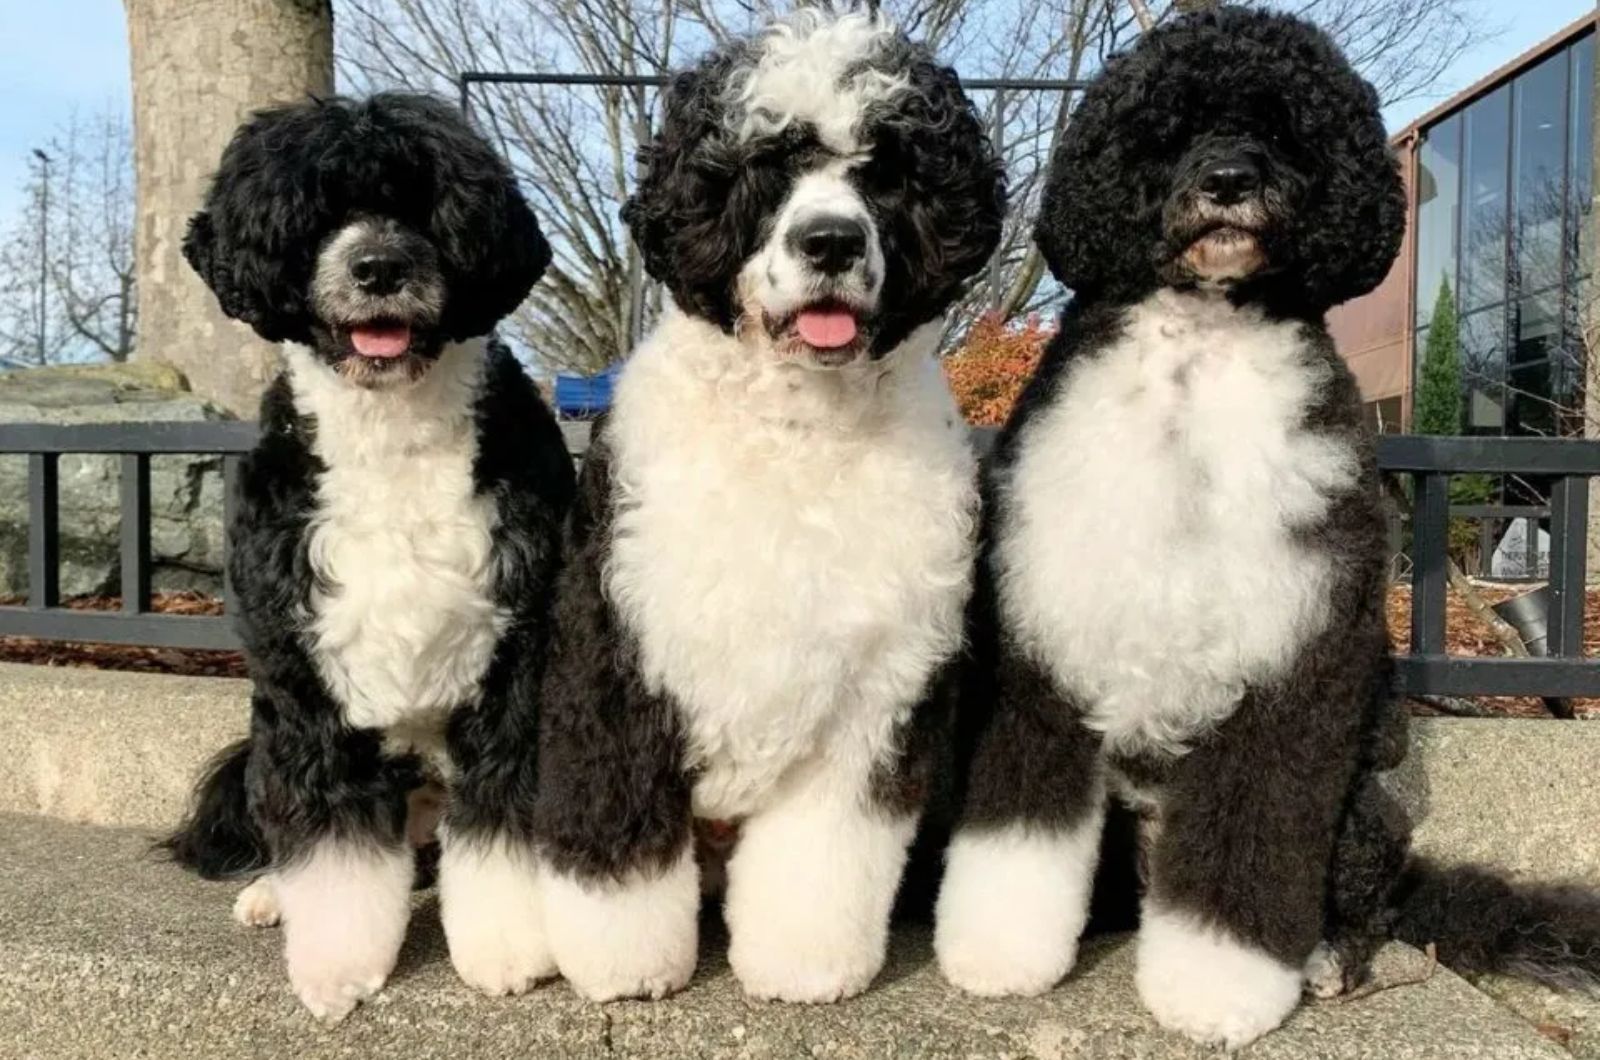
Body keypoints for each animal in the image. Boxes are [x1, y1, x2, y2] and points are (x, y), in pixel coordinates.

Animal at [156, 95, 579, 1024]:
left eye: (426, 204)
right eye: (316, 213)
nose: (379, 265)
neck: (395, 439)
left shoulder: (516, 661)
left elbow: (502, 825)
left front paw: (507, 948)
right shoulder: (306, 678)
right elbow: (333, 843)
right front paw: (337, 967)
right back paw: (272, 895)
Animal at [505, 14, 1004, 1005]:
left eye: (886, 168)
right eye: (766, 162)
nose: (830, 241)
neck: (796, 432)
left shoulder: (876, 692)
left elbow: (822, 856)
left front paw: (804, 962)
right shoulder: (619, 650)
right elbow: (615, 827)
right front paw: (622, 961)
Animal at [934, 6, 1600, 1056]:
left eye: (1286, 130)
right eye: (1166, 127)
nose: (1227, 181)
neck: (1196, 369)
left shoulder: (1294, 657)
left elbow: (1253, 841)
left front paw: (1218, 992)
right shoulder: (1041, 642)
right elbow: (1019, 827)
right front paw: (999, 955)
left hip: (1365, 812)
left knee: (1367, 901)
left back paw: (1327, 960)